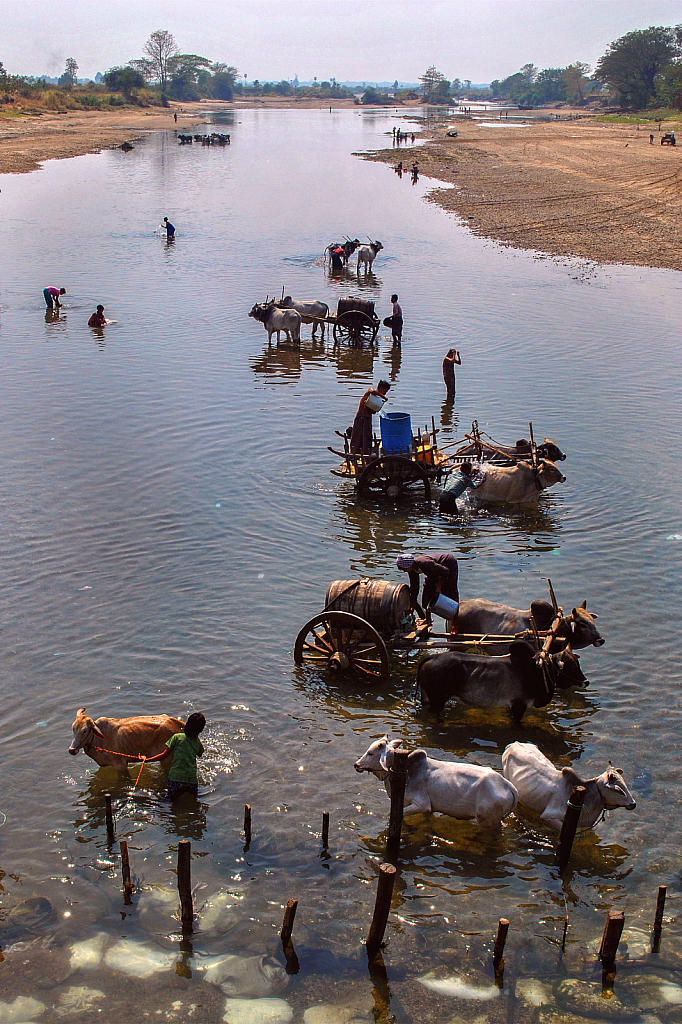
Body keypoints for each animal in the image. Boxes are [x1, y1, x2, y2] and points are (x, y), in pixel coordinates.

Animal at [352, 733, 518, 827]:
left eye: (371, 753)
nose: (356, 765)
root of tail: (507, 785)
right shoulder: (428, 808)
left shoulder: (422, 804)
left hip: (488, 820)